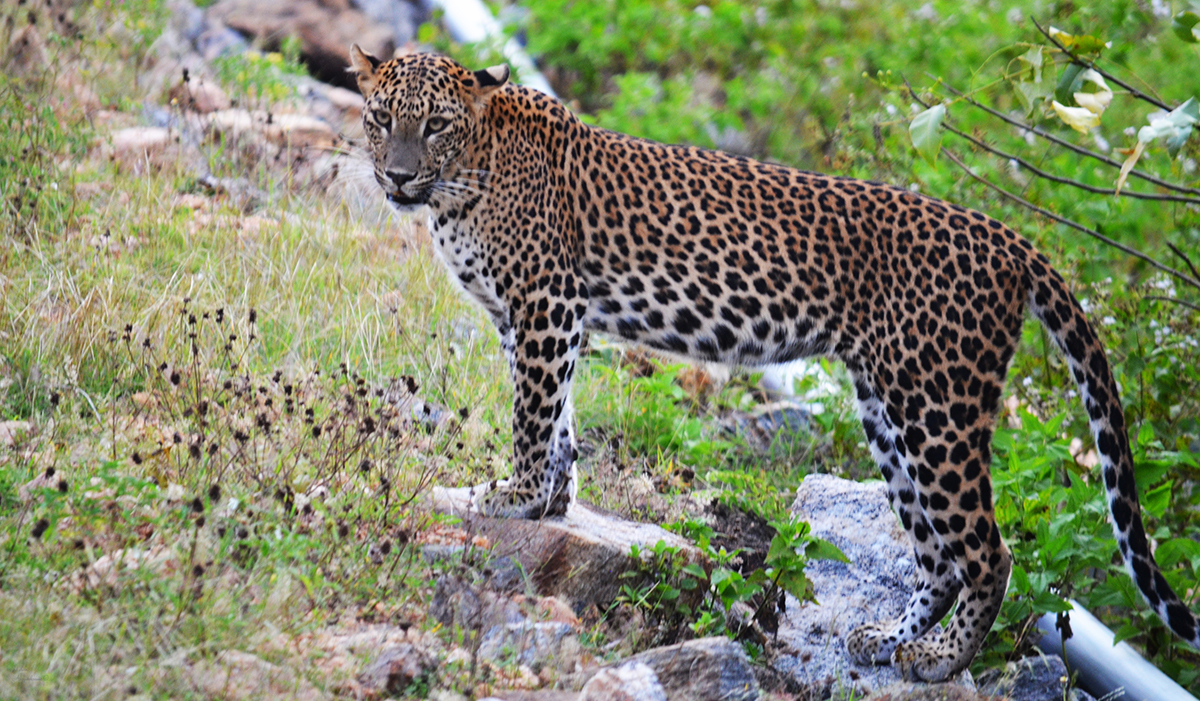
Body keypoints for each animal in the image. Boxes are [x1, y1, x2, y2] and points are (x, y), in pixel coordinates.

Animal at [350, 48, 1200, 676]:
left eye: (436, 124)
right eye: (380, 117)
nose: (395, 175)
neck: (466, 179)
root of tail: (1013, 239)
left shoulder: (543, 306)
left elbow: (532, 412)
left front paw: (518, 495)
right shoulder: (537, 318)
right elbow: (557, 415)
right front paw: (554, 496)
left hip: (937, 406)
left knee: (986, 551)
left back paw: (940, 658)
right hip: (888, 407)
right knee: (938, 553)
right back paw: (887, 638)